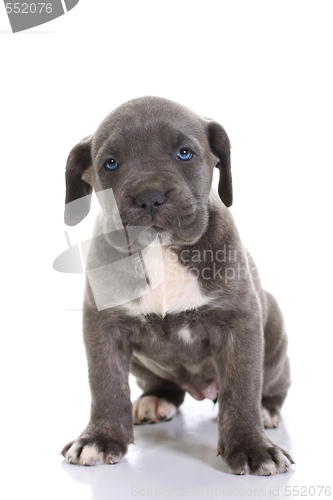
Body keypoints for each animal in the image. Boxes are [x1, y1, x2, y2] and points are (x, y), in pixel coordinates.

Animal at [61, 95, 292, 474]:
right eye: (110, 163)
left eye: (185, 153)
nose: (149, 196)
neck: (161, 250)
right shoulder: (104, 326)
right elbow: (106, 383)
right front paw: (100, 438)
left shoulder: (239, 324)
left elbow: (242, 387)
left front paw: (252, 446)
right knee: (164, 385)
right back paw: (156, 400)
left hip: (274, 335)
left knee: (271, 385)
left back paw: (266, 410)